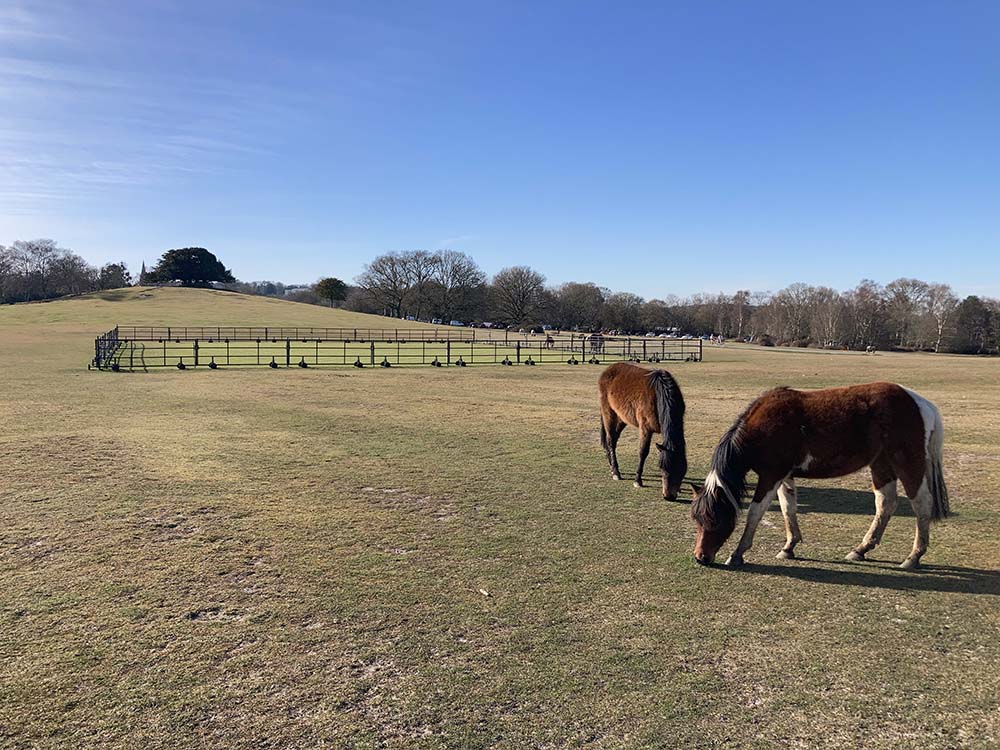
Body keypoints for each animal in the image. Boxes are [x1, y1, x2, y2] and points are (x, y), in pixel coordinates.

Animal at [598, 362, 688, 501]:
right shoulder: (645, 428)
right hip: (609, 413)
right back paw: (616, 472)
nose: (669, 496)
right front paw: (637, 480)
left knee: (614, 438)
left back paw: (611, 466)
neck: (659, 395)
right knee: (610, 440)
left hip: (622, 417)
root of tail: (608, 369)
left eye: (681, 469)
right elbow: (643, 452)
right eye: (662, 468)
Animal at [690, 382, 949, 570]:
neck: (761, 428)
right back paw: (861, 549)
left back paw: (913, 557)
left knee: (921, 504)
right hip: (881, 465)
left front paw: (738, 553)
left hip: (907, 464)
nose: (701, 557)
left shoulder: (771, 476)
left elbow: (755, 513)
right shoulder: (784, 476)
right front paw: (789, 547)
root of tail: (920, 403)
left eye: (715, 519)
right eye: (697, 519)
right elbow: (788, 508)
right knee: (886, 504)